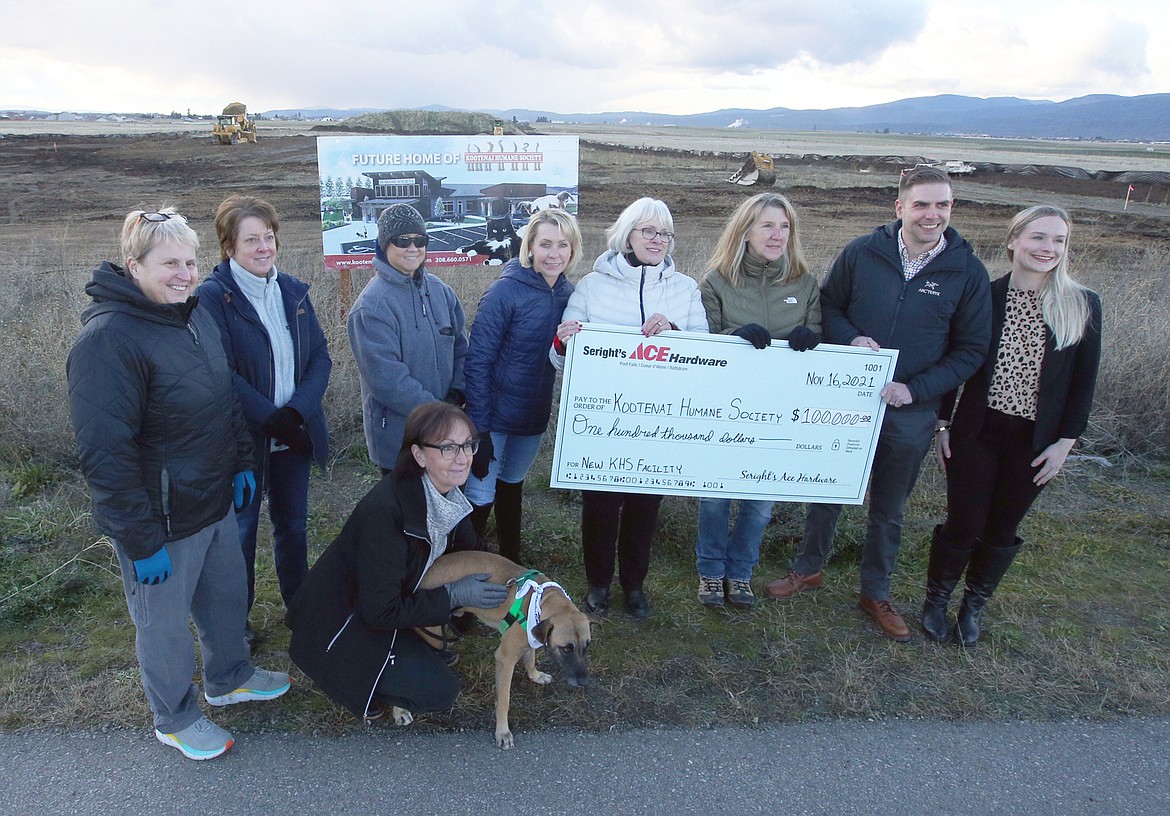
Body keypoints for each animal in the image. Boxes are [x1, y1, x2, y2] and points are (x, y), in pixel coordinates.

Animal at [409, 550, 594, 749]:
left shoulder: (531, 637)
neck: (541, 600)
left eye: (587, 645)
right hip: (431, 633)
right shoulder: (505, 658)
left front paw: (535, 675)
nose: (584, 681)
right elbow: (504, 701)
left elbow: (530, 657)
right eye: (566, 648)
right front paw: (503, 731)